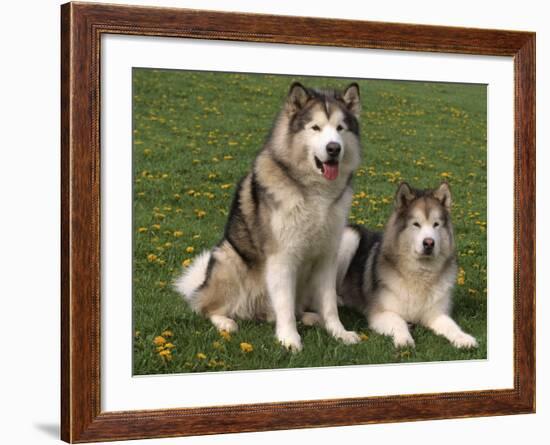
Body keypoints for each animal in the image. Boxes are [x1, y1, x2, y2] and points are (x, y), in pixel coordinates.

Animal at [177, 80, 364, 350]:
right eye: (315, 128)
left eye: (340, 128)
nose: (334, 148)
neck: (315, 192)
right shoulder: (281, 257)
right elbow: (284, 304)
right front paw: (289, 339)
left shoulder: (327, 256)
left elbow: (329, 303)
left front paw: (339, 332)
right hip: (228, 259)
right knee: (206, 307)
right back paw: (225, 321)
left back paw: (311, 317)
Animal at [336, 180, 478, 346]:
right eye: (416, 224)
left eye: (436, 224)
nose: (429, 243)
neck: (420, 274)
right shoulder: (381, 313)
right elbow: (399, 321)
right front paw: (404, 338)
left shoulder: (436, 314)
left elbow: (451, 325)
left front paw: (463, 338)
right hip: (350, 236)